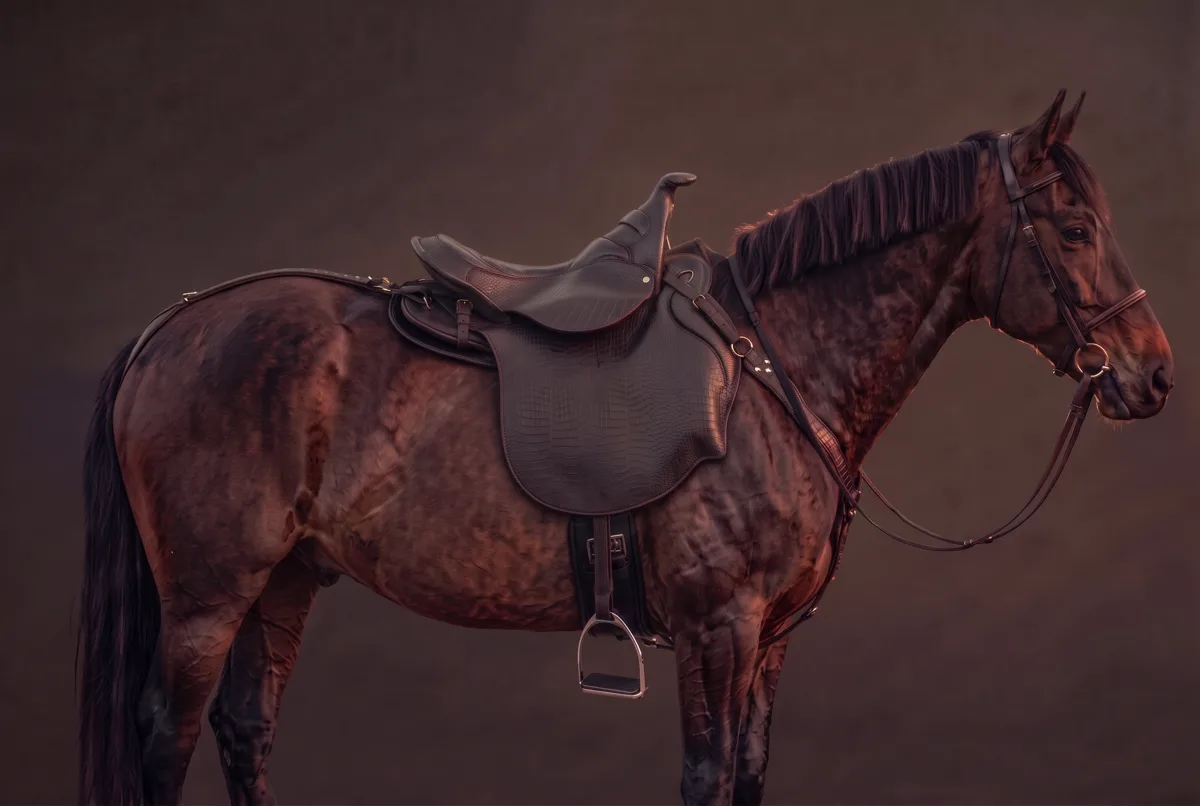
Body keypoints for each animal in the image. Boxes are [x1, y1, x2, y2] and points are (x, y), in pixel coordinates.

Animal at [78, 91, 1173, 806]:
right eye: (1075, 227)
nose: (1154, 373)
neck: (773, 367)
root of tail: (170, 327)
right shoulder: (719, 626)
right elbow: (706, 774)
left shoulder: (771, 638)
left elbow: (747, 775)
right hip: (208, 595)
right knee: (169, 737)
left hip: (286, 580)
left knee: (244, 731)